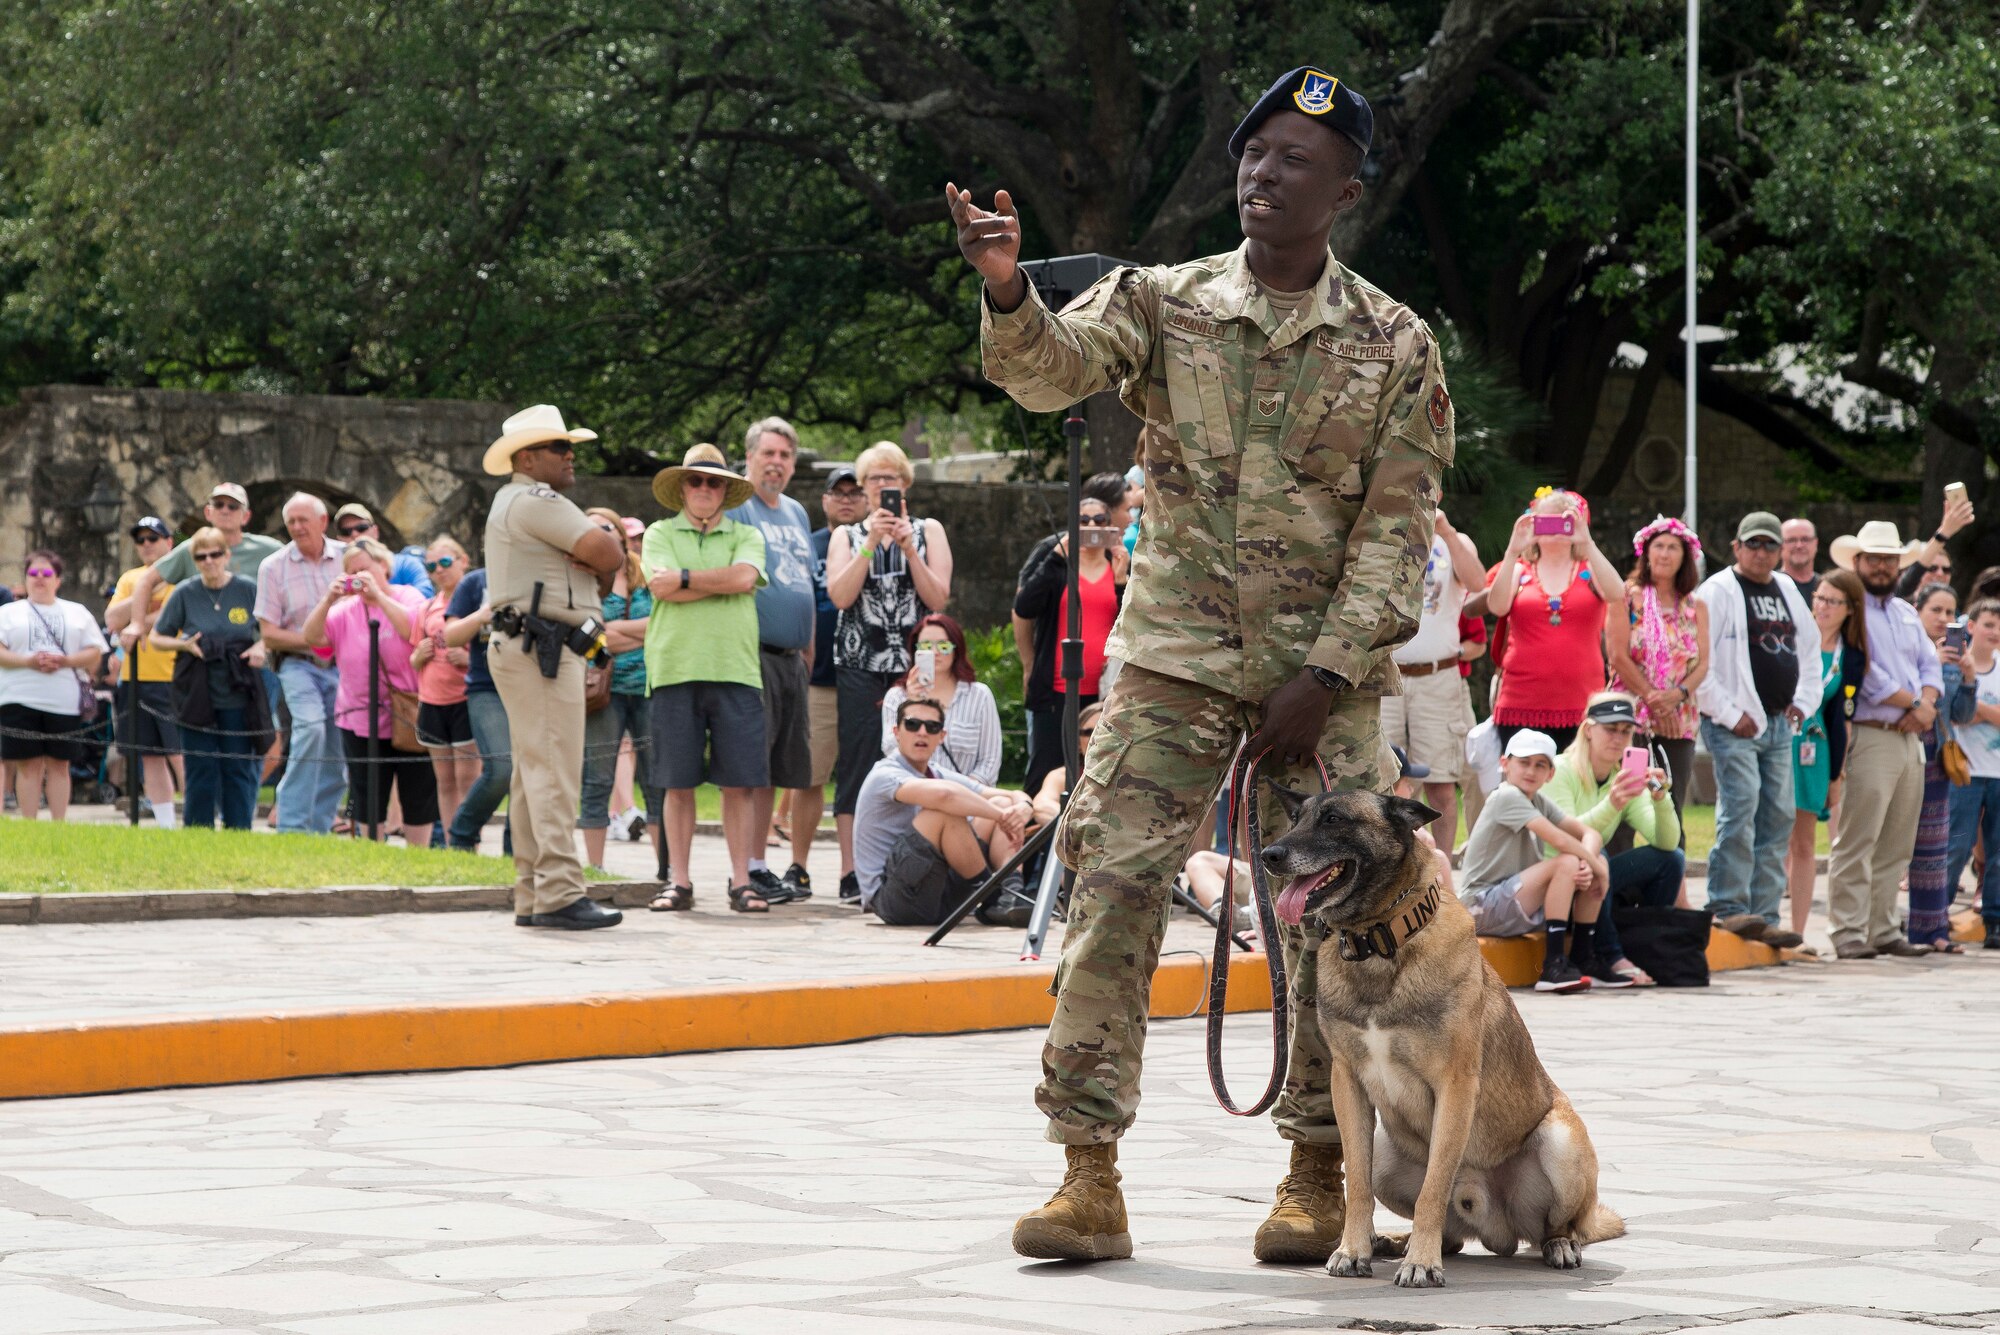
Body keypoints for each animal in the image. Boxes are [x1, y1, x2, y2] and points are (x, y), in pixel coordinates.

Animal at [1264, 787, 1624, 1287]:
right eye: (1296, 818)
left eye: (1334, 819)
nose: (1268, 855)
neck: (1380, 940)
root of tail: (1496, 1228)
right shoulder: (1348, 1087)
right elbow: (1357, 1184)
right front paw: (1354, 1250)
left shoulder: (1454, 1088)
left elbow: (1432, 1189)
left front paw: (1421, 1262)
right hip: (1385, 1150)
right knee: (1450, 1234)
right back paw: (1394, 1242)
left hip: (1561, 1144)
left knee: (1560, 1226)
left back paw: (1558, 1245)